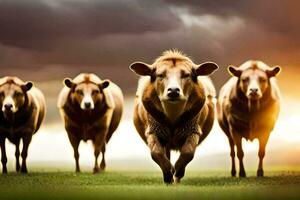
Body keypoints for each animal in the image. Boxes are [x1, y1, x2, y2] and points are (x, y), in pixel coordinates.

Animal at [129, 50, 218, 184]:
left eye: (186, 75)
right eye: (160, 75)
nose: (174, 91)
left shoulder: (193, 129)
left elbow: (188, 152)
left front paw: (177, 170)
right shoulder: (153, 129)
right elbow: (156, 153)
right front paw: (168, 173)